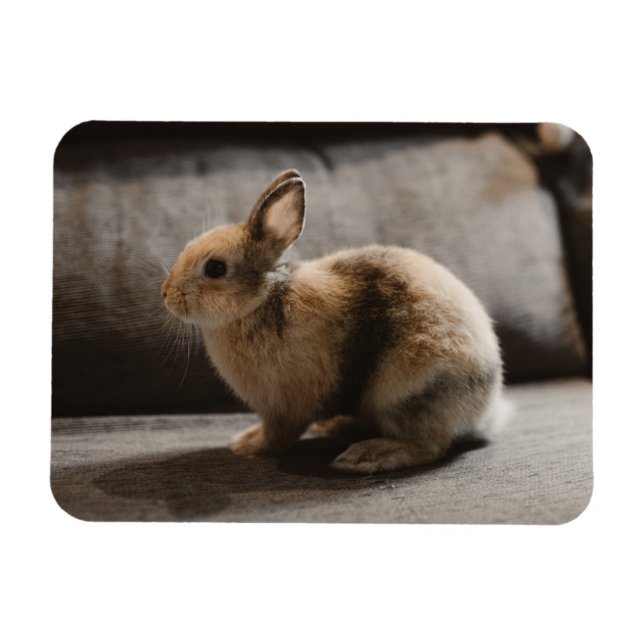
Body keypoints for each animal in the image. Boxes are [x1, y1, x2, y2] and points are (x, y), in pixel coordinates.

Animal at [161, 169, 511, 473]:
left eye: (215, 268)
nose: (166, 294)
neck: (263, 300)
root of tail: (487, 407)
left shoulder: (284, 407)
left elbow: (278, 435)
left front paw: (248, 446)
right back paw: (337, 427)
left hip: (407, 392)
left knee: (431, 446)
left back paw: (365, 456)